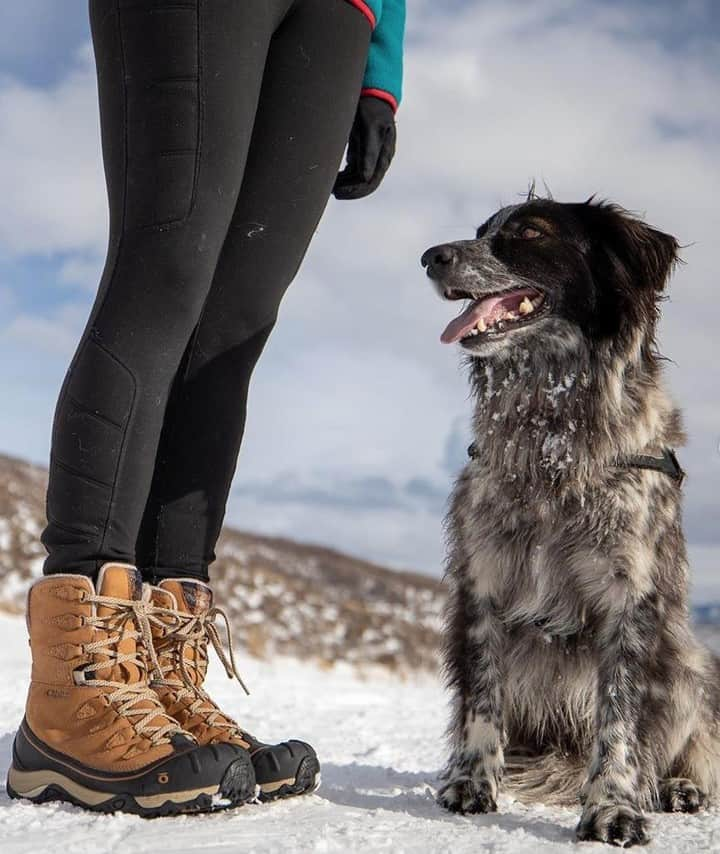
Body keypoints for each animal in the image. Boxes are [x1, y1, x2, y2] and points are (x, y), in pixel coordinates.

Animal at [422, 199, 720, 848]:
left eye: (530, 233)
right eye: (481, 233)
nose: (432, 256)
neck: (551, 439)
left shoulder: (630, 600)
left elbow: (619, 719)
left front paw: (613, 808)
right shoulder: (483, 581)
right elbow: (482, 694)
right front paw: (472, 782)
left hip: (688, 666)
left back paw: (678, 787)